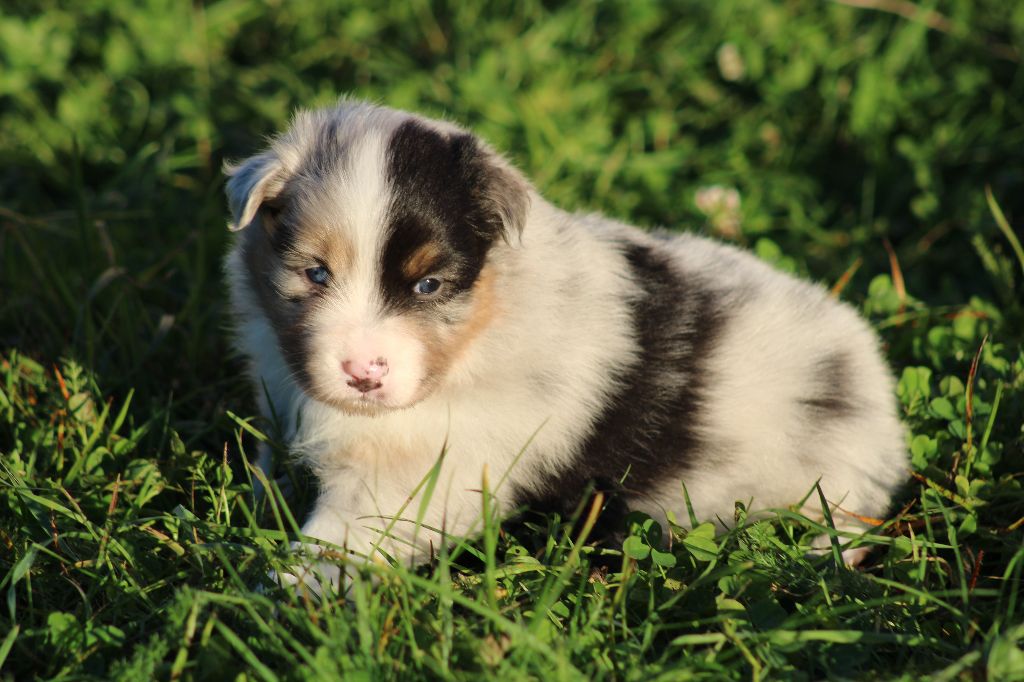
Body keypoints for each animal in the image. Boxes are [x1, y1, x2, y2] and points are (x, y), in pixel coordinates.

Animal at [222, 98, 905, 581]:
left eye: (429, 285)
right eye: (315, 273)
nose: (364, 372)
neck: (485, 323)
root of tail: (876, 385)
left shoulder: (410, 478)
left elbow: (335, 546)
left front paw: (274, 601)